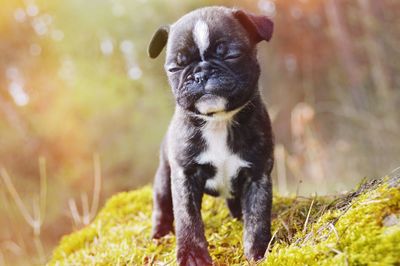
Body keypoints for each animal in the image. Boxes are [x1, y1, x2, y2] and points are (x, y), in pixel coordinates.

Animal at [148, 6, 274, 266]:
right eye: (175, 68)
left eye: (231, 56)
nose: (201, 73)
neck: (217, 121)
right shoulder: (184, 176)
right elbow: (188, 219)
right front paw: (192, 255)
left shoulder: (257, 175)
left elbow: (257, 216)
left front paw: (258, 251)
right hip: (164, 176)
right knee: (162, 203)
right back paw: (159, 232)